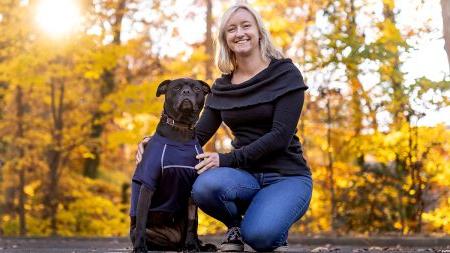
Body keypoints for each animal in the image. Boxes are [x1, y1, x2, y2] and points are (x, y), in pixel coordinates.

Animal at [129, 78, 217, 252]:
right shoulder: (148, 185)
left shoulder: (191, 189)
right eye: (176, 88)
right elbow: (142, 220)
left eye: (197, 89)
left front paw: (191, 246)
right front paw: (140, 247)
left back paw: (198, 245)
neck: (181, 129)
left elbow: (192, 222)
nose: (186, 92)